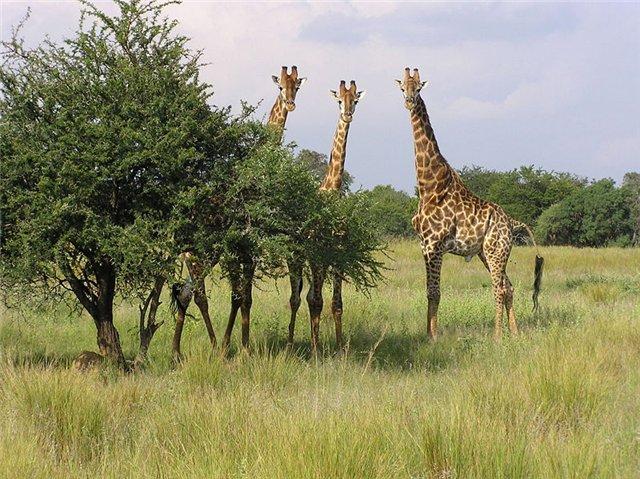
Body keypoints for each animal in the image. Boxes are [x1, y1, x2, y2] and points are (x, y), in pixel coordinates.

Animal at [171, 66, 306, 360]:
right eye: (280, 86)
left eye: (297, 87)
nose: (291, 104)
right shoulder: (236, 248)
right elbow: (238, 296)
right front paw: (231, 348)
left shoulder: (250, 249)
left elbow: (246, 297)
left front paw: (241, 346)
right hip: (198, 252)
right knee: (197, 295)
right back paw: (209, 346)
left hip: (201, 255)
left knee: (186, 293)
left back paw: (177, 352)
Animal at [396, 67, 543, 340]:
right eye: (402, 88)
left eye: (419, 88)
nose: (409, 102)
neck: (429, 185)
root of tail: (512, 222)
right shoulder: (423, 245)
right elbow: (428, 292)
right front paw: (427, 334)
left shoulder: (435, 245)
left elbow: (435, 292)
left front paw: (434, 337)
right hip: (488, 252)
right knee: (509, 287)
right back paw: (515, 333)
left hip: (496, 251)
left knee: (499, 289)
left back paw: (498, 337)